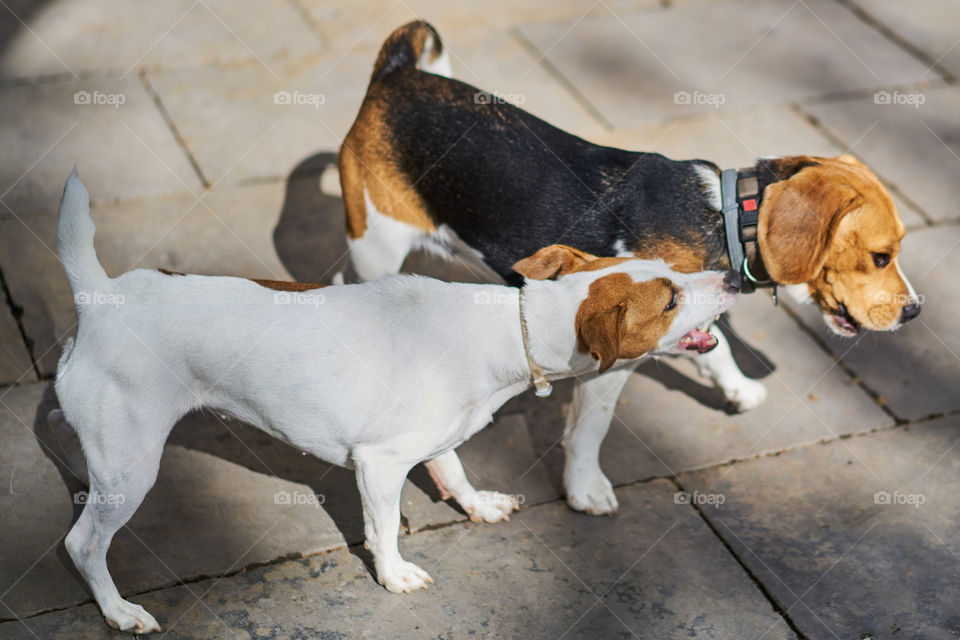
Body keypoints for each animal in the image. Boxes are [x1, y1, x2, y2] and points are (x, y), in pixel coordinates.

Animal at [50, 171, 744, 636]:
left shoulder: (435, 440)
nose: (733, 278)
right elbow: (383, 527)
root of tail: (98, 295)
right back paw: (118, 610)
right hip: (132, 467)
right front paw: (394, 574)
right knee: (83, 543)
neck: (509, 326)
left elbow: (454, 470)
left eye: (670, 272)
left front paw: (478, 505)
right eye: (671, 299)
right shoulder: (379, 463)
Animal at [338, 21, 924, 516]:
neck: (726, 217)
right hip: (376, 241)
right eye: (881, 256)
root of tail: (397, 73)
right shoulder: (613, 359)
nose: (916, 312)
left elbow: (715, 346)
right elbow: (590, 430)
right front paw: (585, 491)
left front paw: (736, 388)